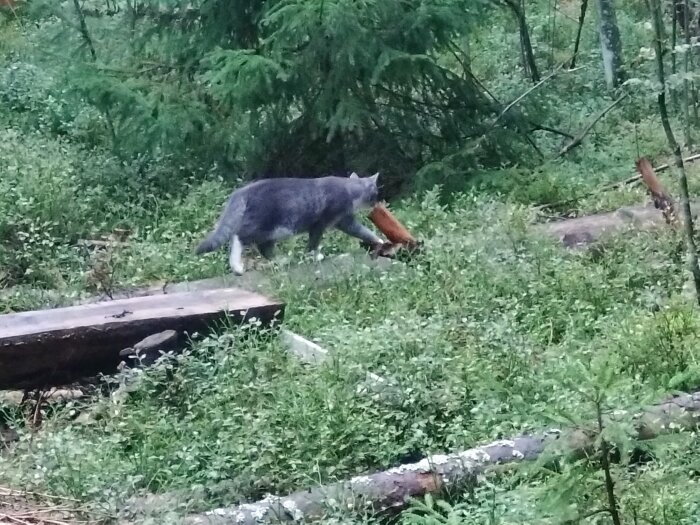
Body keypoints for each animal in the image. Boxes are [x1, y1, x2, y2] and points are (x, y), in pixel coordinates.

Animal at [194, 173, 386, 274]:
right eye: (376, 193)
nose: (377, 203)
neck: (349, 189)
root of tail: (242, 191)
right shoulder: (320, 223)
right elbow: (314, 242)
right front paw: (314, 256)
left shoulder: (344, 221)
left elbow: (362, 230)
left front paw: (380, 240)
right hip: (263, 224)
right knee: (239, 236)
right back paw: (237, 266)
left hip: (272, 231)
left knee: (264, 248)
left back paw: (281, 261)